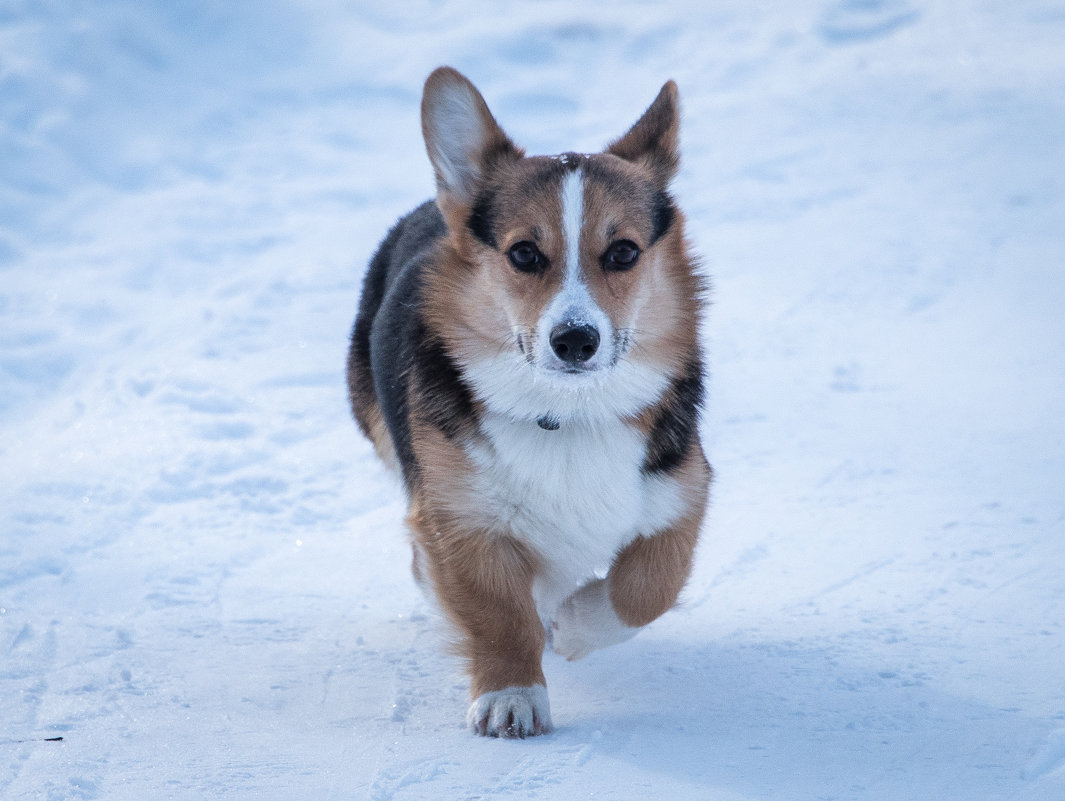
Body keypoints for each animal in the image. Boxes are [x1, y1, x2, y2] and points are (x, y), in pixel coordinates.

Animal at [349, 68, 711, 737]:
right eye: (523, 253)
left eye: (623, 252)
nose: (575, 340)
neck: (567, 413)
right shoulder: (461, 517)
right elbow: (498, 612)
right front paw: (510, 696)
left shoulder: (683, 492)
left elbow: (650, 587)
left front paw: (577, 625)